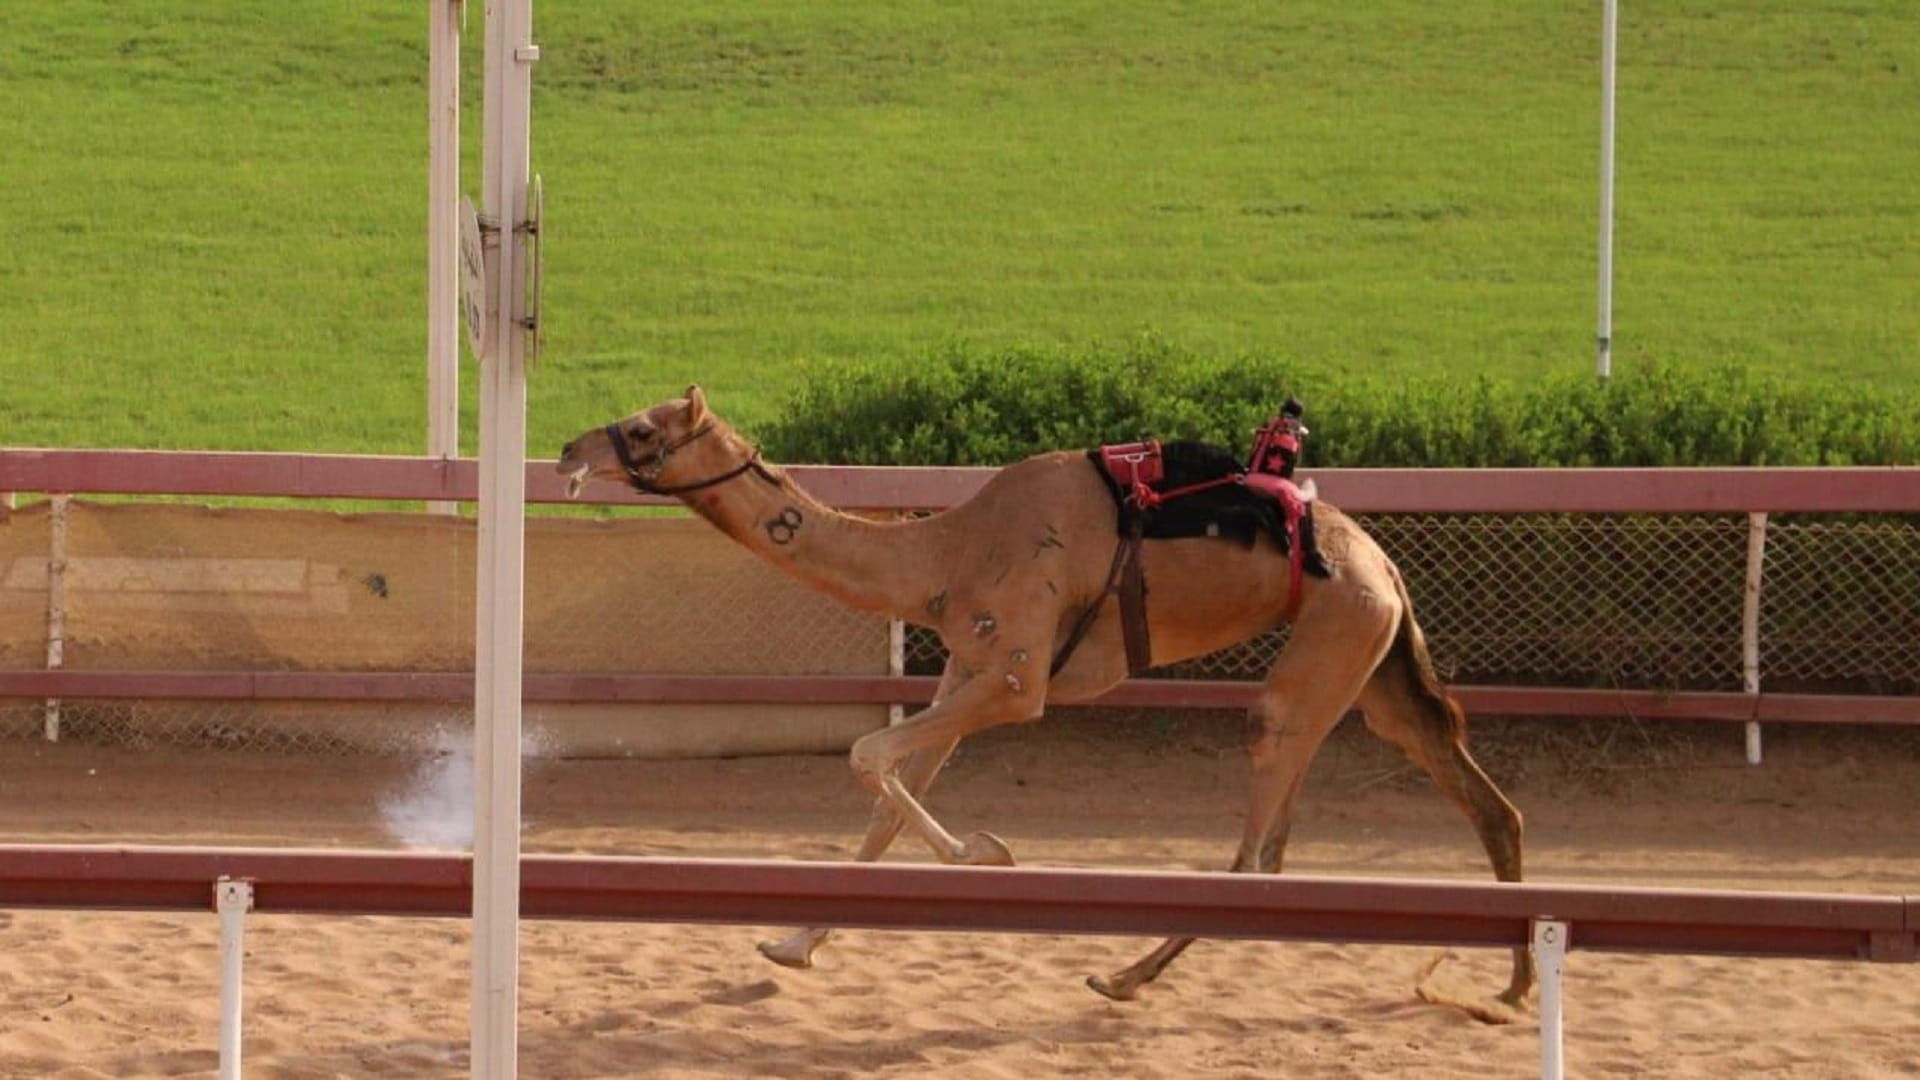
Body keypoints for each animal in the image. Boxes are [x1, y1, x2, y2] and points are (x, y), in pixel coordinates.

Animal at [556, 385, 1531, 1017]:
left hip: (1332, 642)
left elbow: (869, 757)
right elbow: (891, 793)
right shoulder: (965, 664)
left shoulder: (1020, 676)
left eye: (642, 425)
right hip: (1377, 668)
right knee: (1484, 804)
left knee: (1261, 835)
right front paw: (791, 945)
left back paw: (1123, 977)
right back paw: (1513, 985)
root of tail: (1385, 565)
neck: (943, 556)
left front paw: (984, 854)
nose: (568, 448)